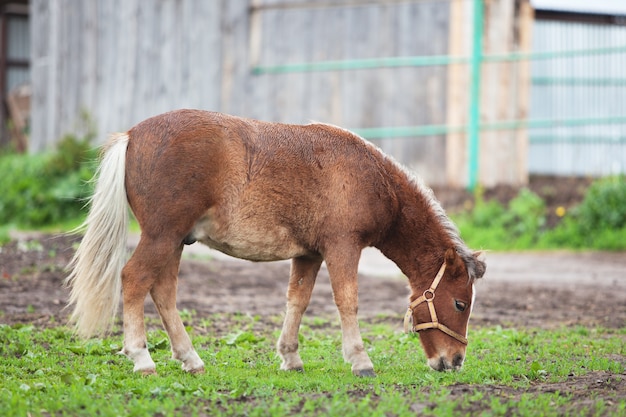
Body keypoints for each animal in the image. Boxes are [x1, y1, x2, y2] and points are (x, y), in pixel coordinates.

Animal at [69, 109, 488, 376]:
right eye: (459, 303)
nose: (454, 362)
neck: (371, 176)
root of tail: (132, 136)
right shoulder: (342, 247)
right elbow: (347, 301)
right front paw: (360, 361)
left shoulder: (309, 255)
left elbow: (297, 301)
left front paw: (290, 358)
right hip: (162, 237)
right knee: (134, 280)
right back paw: (142, 359)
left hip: (174, 242)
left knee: (163, 292)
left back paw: (191, 359)